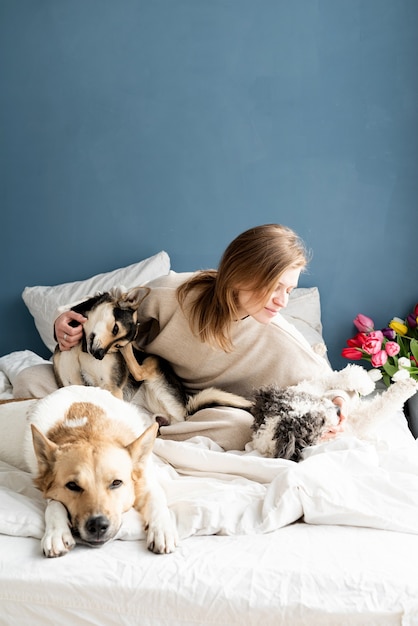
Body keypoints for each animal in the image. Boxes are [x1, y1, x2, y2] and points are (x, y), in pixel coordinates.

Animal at [20, 386, 177, 556]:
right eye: (72, 486)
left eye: (116, 483)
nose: (97, 526)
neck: (88, 431)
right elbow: (54, 505)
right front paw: (56, 533)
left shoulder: (147, 483)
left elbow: (157, 502)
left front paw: (162, 530)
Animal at [250, 364, 416, 460]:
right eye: (320, 422)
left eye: (310, 400)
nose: (338, 410)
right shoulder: (355, 426)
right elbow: (379, 409)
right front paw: (408, 384)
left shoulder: (308, 386)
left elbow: (334, 377)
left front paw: (364, 382)